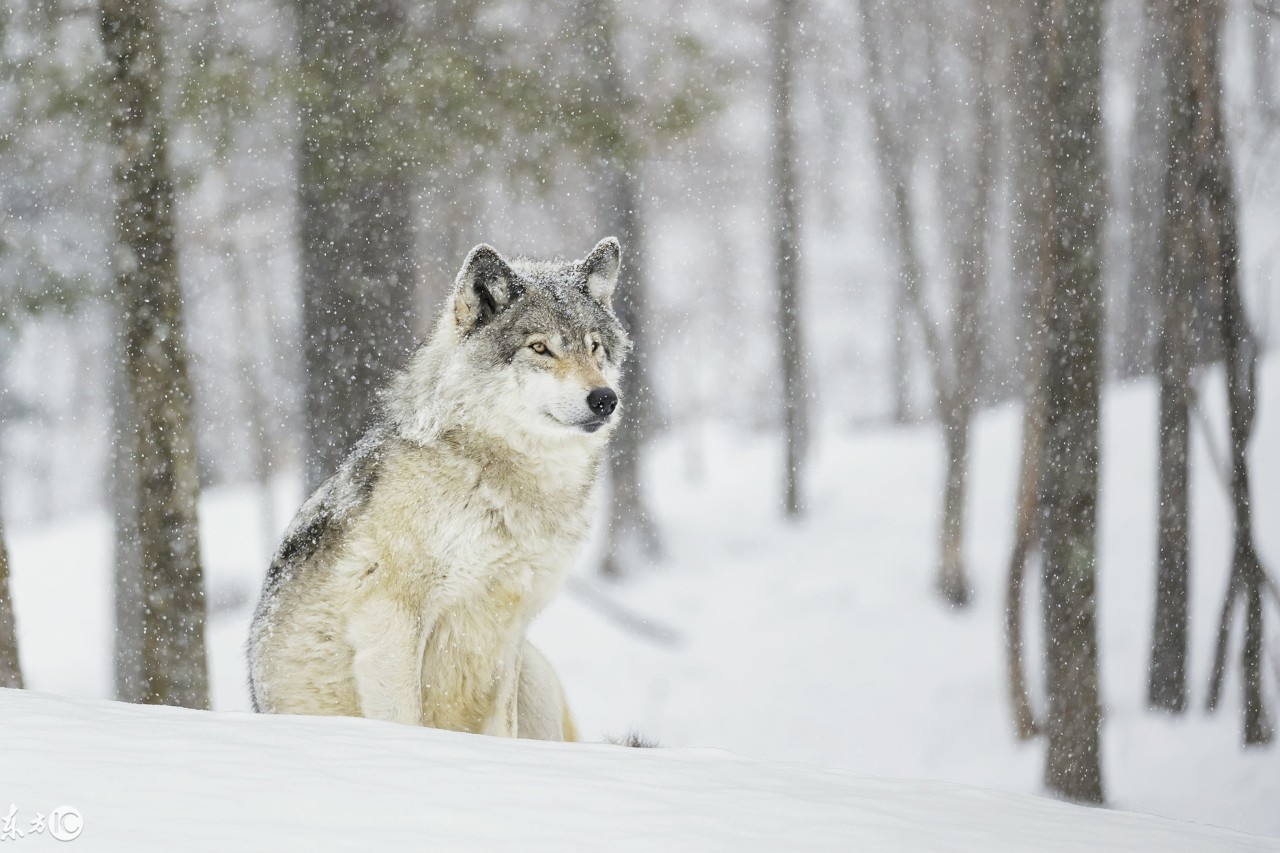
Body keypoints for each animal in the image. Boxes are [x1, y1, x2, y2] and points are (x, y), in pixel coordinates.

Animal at [245, 234, 629, 737]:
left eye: (595, 347)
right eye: (540, 348)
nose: (605, 398)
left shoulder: (509, 630)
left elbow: (503, 730)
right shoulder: (389, 618)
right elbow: (406, 719)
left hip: (535, 670)